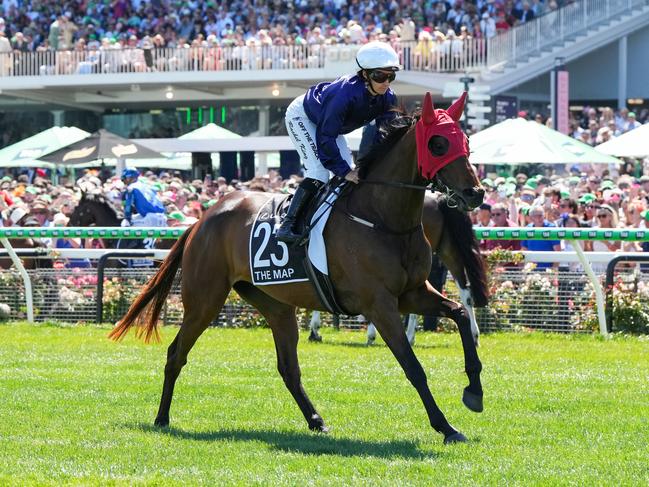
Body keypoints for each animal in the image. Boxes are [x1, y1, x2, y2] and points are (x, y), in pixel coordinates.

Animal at [111, 92, 484, 446]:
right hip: (205, 300)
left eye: (465, 140)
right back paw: (162, 418)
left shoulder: (412, 292)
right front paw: (446, 427)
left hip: (275, 305)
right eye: (438, 144)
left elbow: (458, 314)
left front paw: (474, 391)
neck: (382, 219)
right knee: (176, 353)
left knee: (288, 367)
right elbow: (413, 366)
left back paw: (316, 420)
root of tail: (203, 218)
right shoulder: (379, 304)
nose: (475, 193)